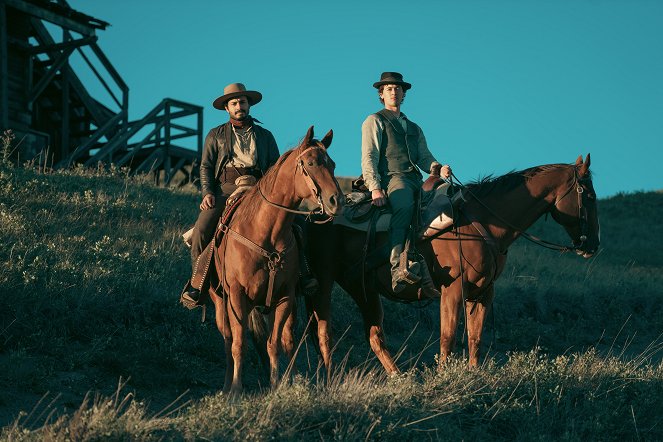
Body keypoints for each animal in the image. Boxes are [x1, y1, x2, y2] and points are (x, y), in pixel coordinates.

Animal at [210, 125, 344, 394]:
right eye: (311, 163)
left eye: (333, 164)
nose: (337, 201)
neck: (264, 231)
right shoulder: (237, 295)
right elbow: (239, 344)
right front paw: (236, 391)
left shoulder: (284, 297)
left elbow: (274, 343)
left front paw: (277, 386)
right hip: (221, 301)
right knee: (228, 340)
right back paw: (227, 387)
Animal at [306, 155, 600, 372]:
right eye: (589, 196)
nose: (594, 245)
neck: (485, 221)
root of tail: (317, 214)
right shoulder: (453, 289)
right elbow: (447, 337)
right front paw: (443, 377)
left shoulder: (482, 292)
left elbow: (475, 337)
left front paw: (472, 375)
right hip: (325, 281)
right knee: (324, 332)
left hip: (361, 286)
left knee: (374, 336)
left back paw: (400, 378)